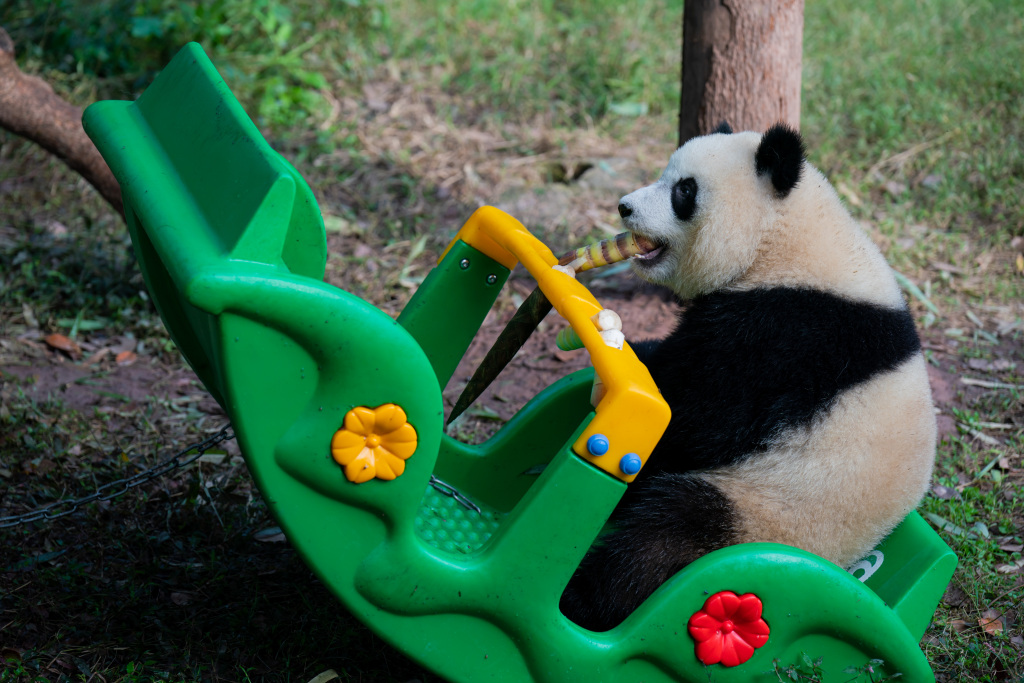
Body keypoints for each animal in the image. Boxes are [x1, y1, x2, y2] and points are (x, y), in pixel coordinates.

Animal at [561, 121, 937, 630]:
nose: (625, 206)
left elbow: (702, 413)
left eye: (684, 191)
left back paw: (581, 600)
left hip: (764, 510)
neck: (782, 239)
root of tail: (843, 564)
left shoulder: (789, 335)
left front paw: (619, 374)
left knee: (662, 541)